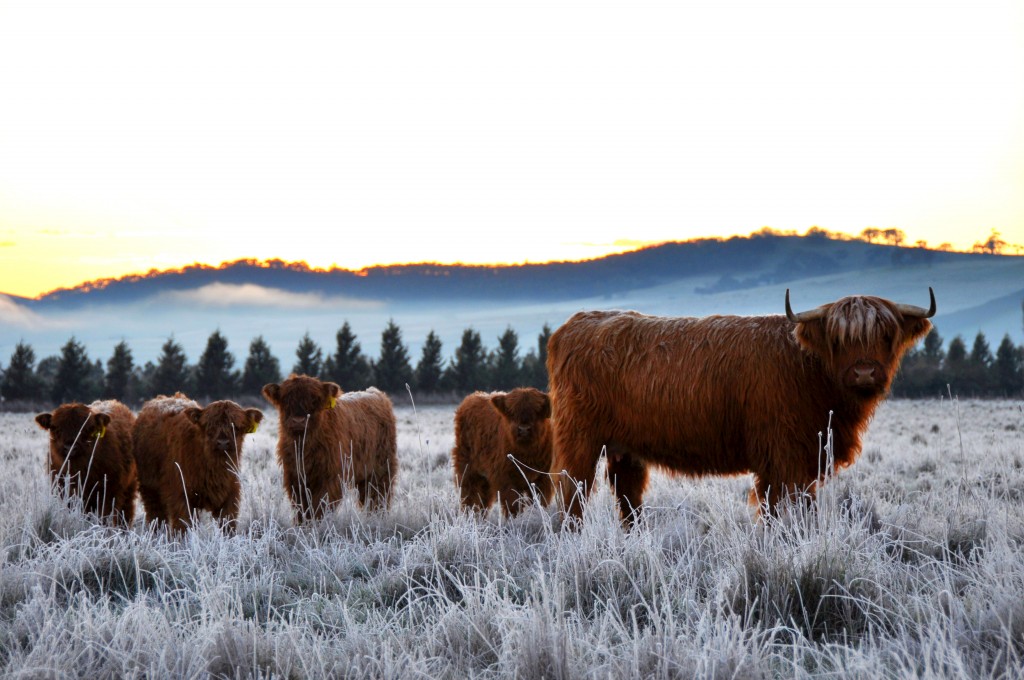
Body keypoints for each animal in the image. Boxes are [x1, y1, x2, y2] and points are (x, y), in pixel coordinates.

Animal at [130, 393, 264, 532]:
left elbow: (227, 525)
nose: (223, 443)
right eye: (210, 426)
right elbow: (183, 526)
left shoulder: (231, 496)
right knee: (156, 516)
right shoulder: (180, 495)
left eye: (235, 427)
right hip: (149, 488)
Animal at [262, 374, 397, 522]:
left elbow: (319, 506)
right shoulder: (294, 477)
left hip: (381, 468)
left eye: (314, 399)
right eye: (286, 399)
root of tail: (376, 393)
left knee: (378, 496)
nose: (298, 421)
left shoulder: (330, 477)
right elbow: (301, 508)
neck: (305, 446)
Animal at [452, 387, 557, 516]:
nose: (523, 430)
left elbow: (540, 503)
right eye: (512, 412)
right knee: (470, 496)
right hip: (468, 470)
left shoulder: (543, 479)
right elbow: (513, 505)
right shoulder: (506, 479)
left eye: (538, 411)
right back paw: (469, 516)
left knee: (483, 501)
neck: (527, 455)